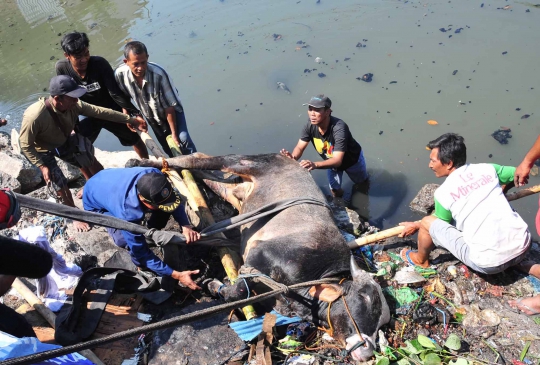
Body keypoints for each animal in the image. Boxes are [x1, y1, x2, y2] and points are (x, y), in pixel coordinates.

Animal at [135, 152, 388, 360]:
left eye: (383, 322)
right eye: (365, 300)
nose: (368, 351)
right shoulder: (259, 254)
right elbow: (238, 291)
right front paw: (213, 285)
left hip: (233, 187)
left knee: (205, 172)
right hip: (247, 163)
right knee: (197, 159)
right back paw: (143, 163)